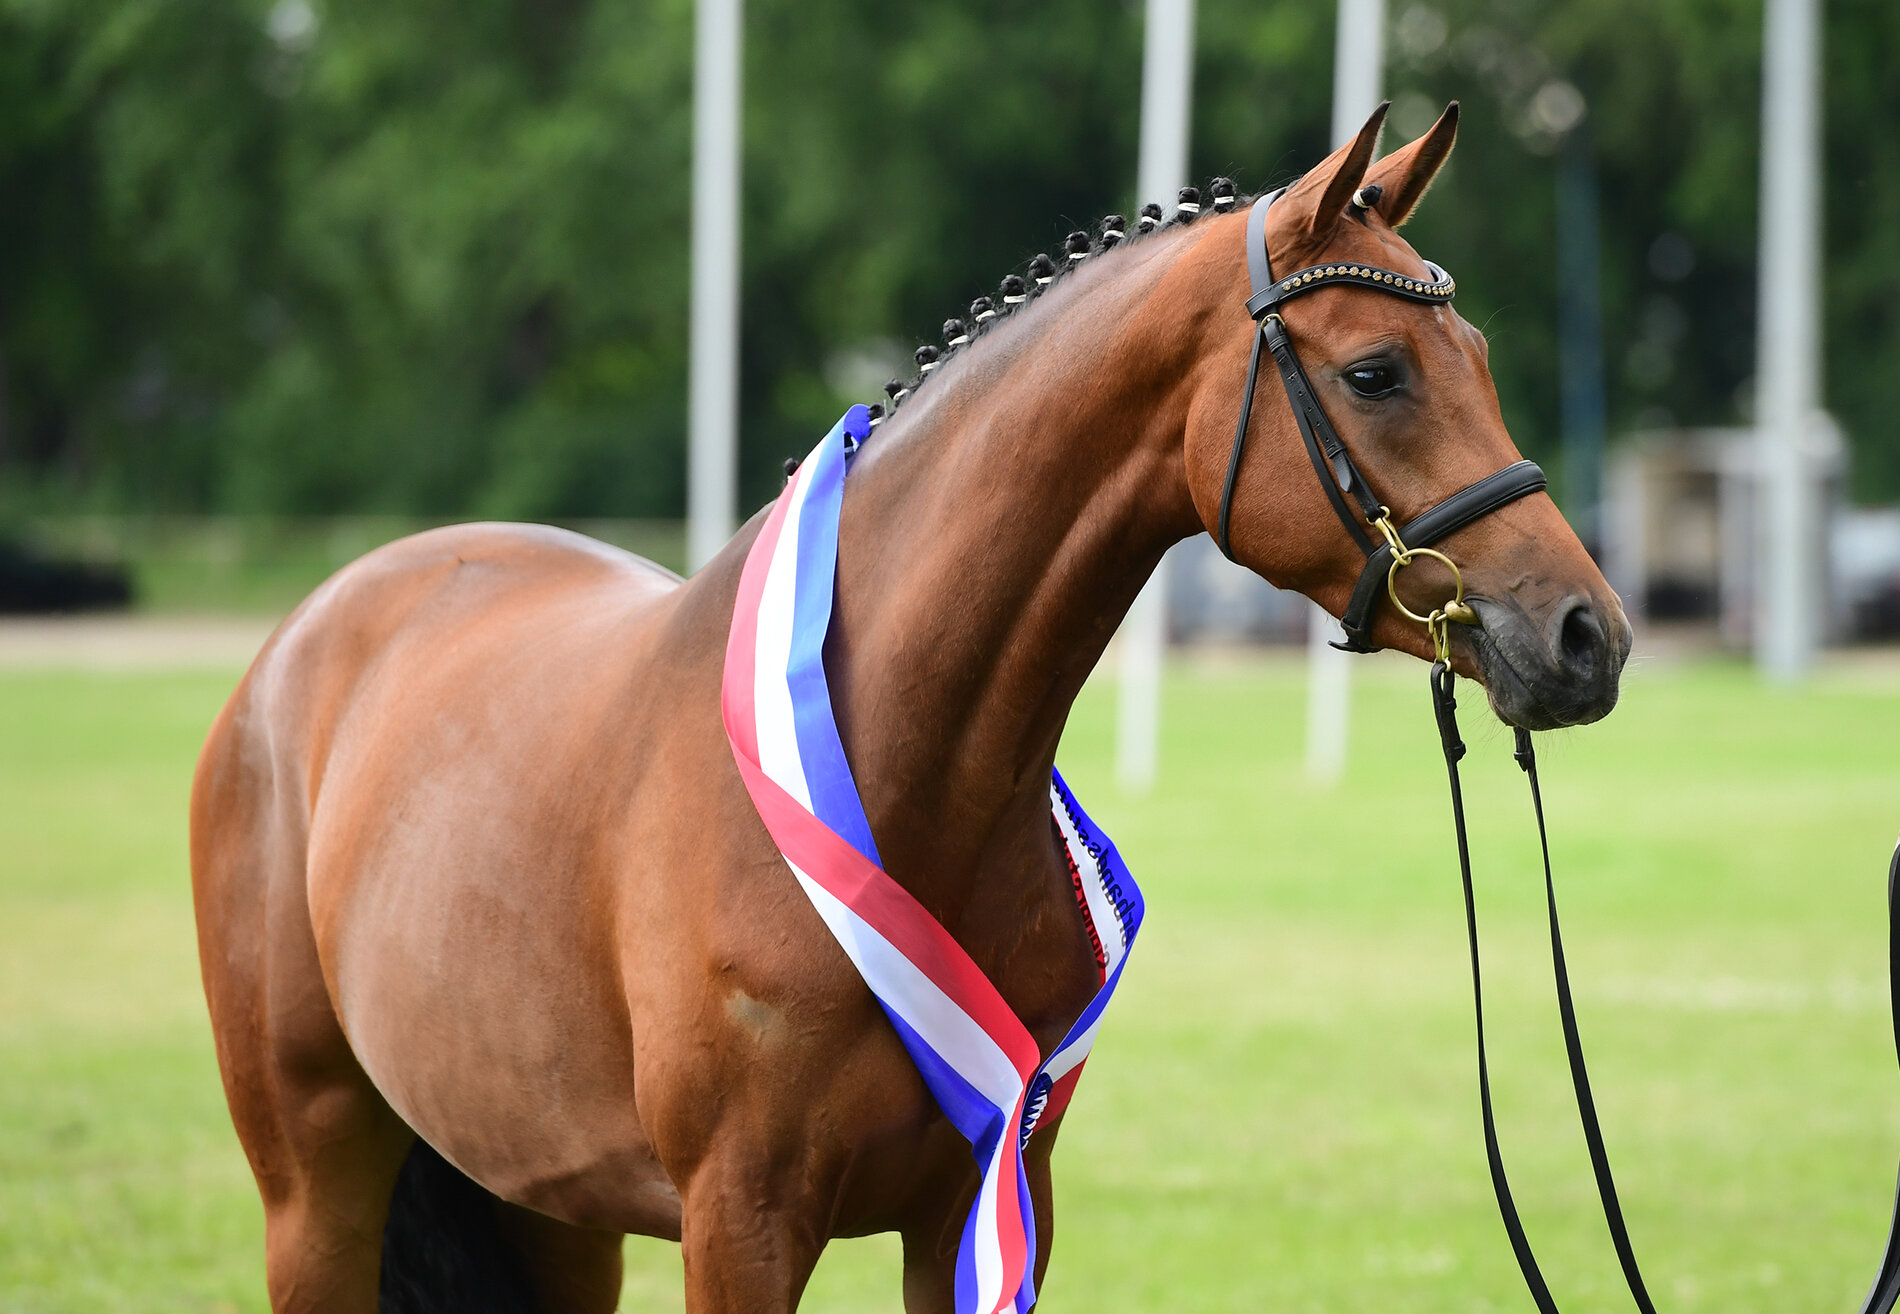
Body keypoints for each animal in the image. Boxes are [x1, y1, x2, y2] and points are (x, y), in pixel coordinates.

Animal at [190, 102, 1630, 1313]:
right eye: (1379, 371)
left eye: (1478, 354)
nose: (1588, 636)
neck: (894, 767)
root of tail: (310, 640)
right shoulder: (741, 1226)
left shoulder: (981, 1207)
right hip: (317, 1194)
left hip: (548, 1212)